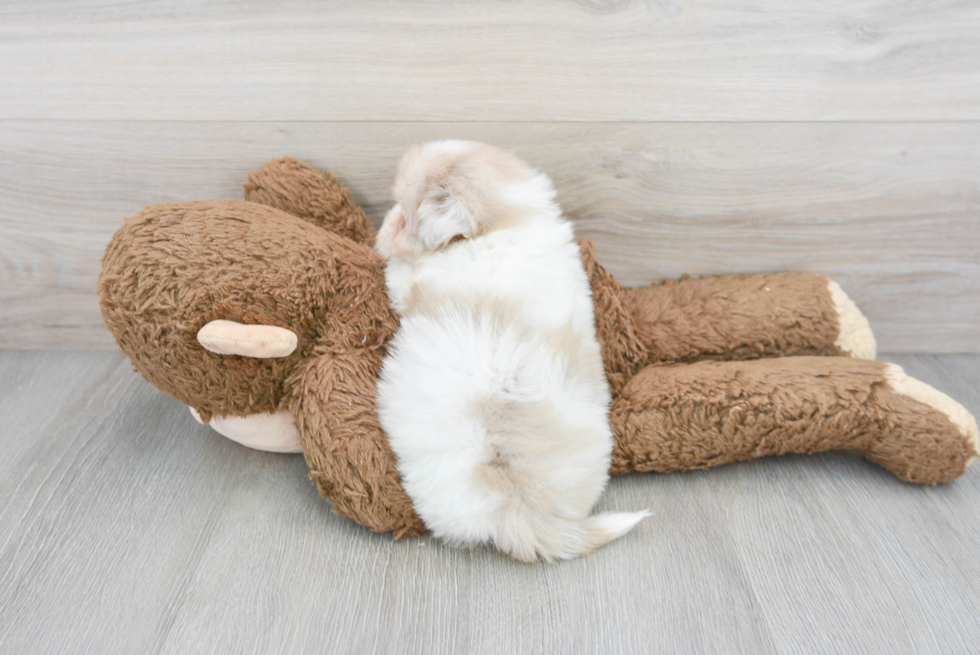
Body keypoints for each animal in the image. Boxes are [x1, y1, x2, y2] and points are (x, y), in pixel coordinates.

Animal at [372, 141, 648, 560]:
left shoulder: (412, 284)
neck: (510, 221)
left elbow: (400, 277)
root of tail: (521, 506)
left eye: (405, 217)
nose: (385, 221)